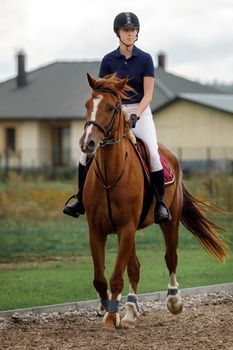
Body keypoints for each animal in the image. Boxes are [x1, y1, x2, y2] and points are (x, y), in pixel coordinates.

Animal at [79, 74, 227, 330]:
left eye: (111, 107)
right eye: (88, 105)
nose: (88, 144)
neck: (110, 174)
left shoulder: (127, 228)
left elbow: (116, 277)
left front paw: (111, 317)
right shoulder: (97, 230)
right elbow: (100, 278)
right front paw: (106, 308)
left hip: (169, 222)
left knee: (170, 258)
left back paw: (173, 301)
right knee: (135, 268)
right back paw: (130, 311)